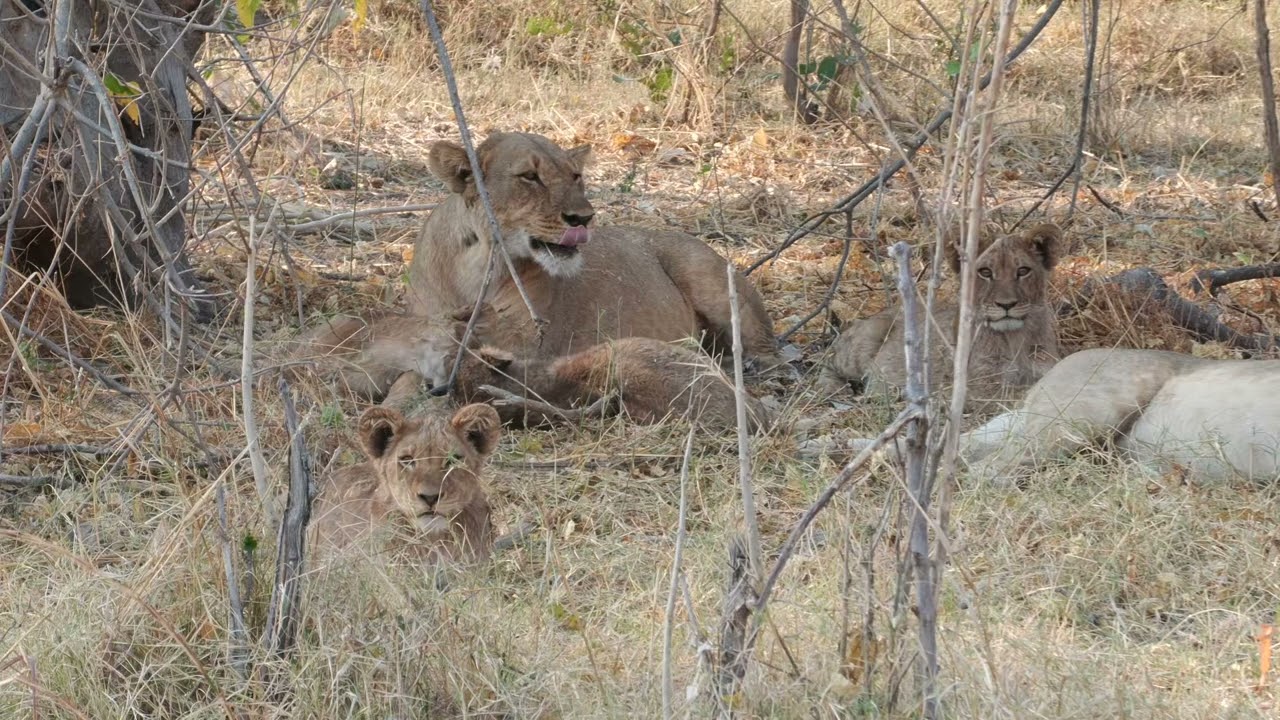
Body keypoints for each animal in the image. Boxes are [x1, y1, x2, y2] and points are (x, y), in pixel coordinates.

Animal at [403, 131, 782, 369]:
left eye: (576, 176)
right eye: (530, 177)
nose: (583, 218)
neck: (480, 262)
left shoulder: (537, 340)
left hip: (704, 272)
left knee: (766, 346)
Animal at [819, 223, 1063, 410]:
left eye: (1023, 271)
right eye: (985, 272)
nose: (1006, 305)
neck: (1015, 338)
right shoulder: (977, 388)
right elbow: (1021, 394)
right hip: (864, 341)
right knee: (827, 361)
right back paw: (836, 390)